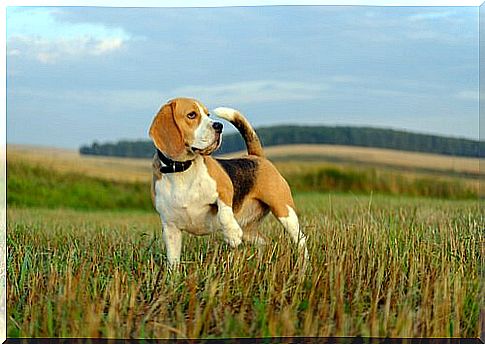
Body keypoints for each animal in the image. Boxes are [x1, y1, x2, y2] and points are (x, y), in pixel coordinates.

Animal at [147, 97, 308, 268]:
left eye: (208, 114)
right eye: (191, 115)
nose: (219, 126)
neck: (182, 171)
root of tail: (256, 157)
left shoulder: (225, 188)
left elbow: (224, 211)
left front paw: (231, 234)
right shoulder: (170, 229)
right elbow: (173, 261)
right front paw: (174, 275)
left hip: (284, 211)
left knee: (300, 239)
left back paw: (304, 266)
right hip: (249, 231)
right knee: (264, 242)